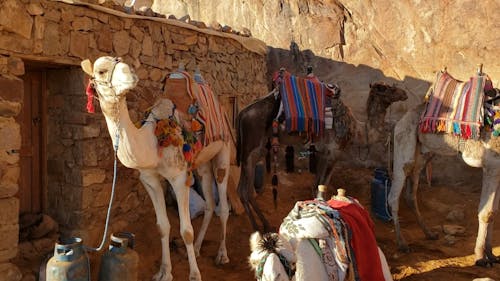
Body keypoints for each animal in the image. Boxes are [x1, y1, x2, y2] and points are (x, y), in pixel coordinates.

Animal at [80, 55, 232, 280]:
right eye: (101, 71)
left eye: (122, 62)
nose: (130, 74)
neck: (152, 142)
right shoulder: (149, 180)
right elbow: (162, 227)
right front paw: (164, 272)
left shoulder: (179, 178)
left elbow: (186, 231)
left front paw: (195, 275)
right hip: (202, 162)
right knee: (209, 203)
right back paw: (197, 248)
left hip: (224, 149)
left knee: (223, 205)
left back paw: (222, 255)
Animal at [390, 85, 500, 264]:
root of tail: (403, 117)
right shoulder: (491, 166)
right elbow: (486, 213)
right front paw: (480, 257)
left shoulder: (498, 170)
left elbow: (494, 212)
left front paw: (491, 254)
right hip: (404, 142)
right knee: (394, 195)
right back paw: (402, 244)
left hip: (422, 155)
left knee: (410, 194)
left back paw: (429, 233)